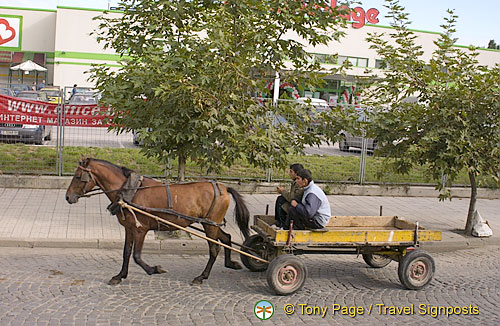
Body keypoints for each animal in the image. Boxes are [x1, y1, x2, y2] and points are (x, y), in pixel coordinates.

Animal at [66, 158, 250, 286]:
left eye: (78, 176)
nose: (68, 197)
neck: (130, 191)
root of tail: (224, 187)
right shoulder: (129, 229)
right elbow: (126, 252)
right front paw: (119, 276)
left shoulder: (140, 229)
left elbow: (137, 256)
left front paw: (155, 269)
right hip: (212, 224)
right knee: (226, 238)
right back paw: (230, 263)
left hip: (210, 225)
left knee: (214, 249)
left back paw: (201, 277)